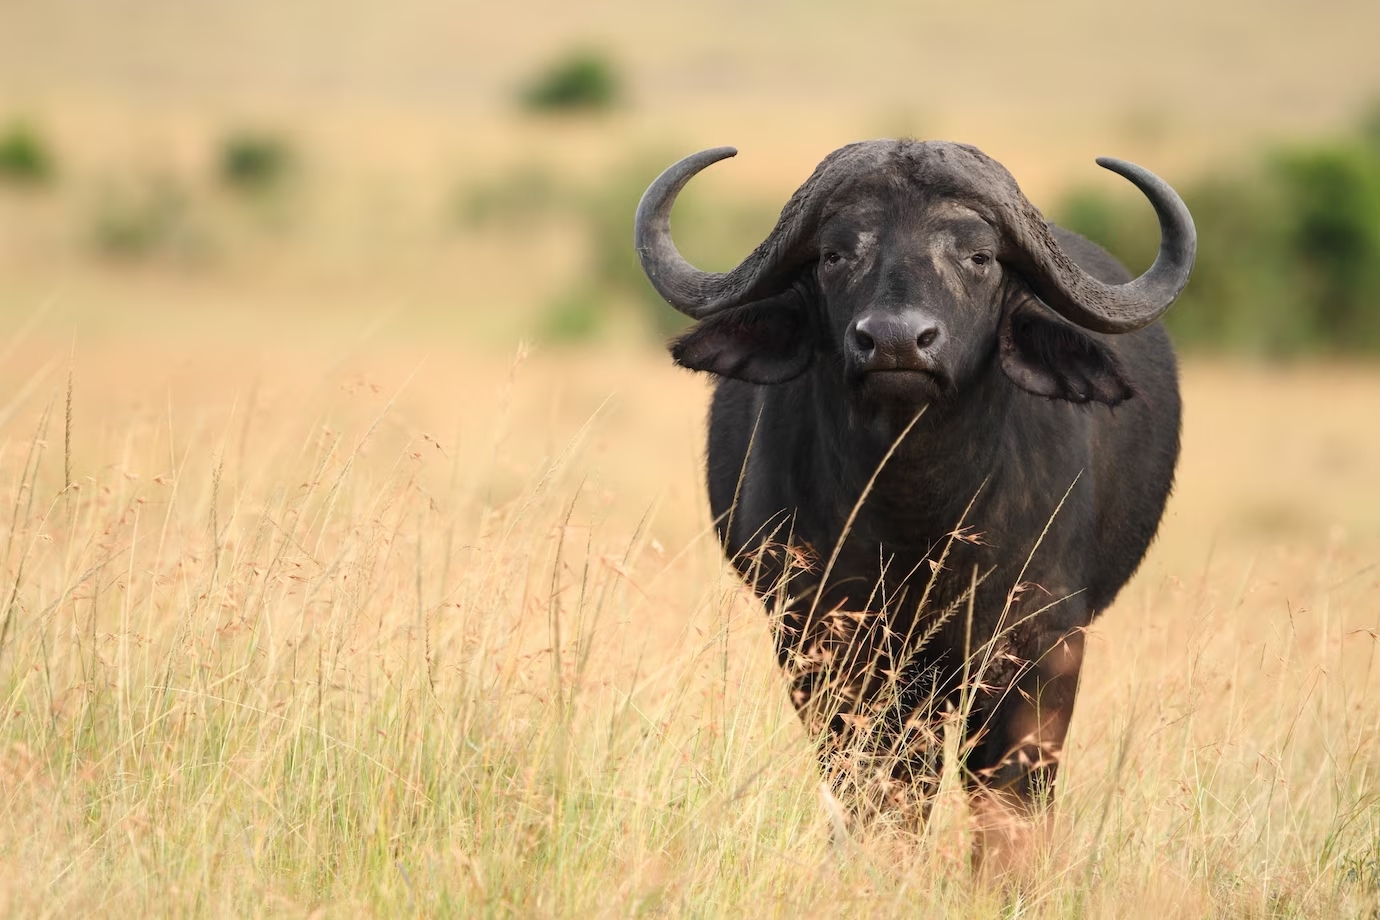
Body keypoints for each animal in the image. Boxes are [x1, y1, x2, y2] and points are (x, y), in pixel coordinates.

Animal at [632, 140, 1192, 877]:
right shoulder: (821, 642)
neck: (917, 515)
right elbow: (878, 786)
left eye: (978, 257)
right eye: (835, 255)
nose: (897, 341)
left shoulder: (1039, 644)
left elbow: (1008, 793)